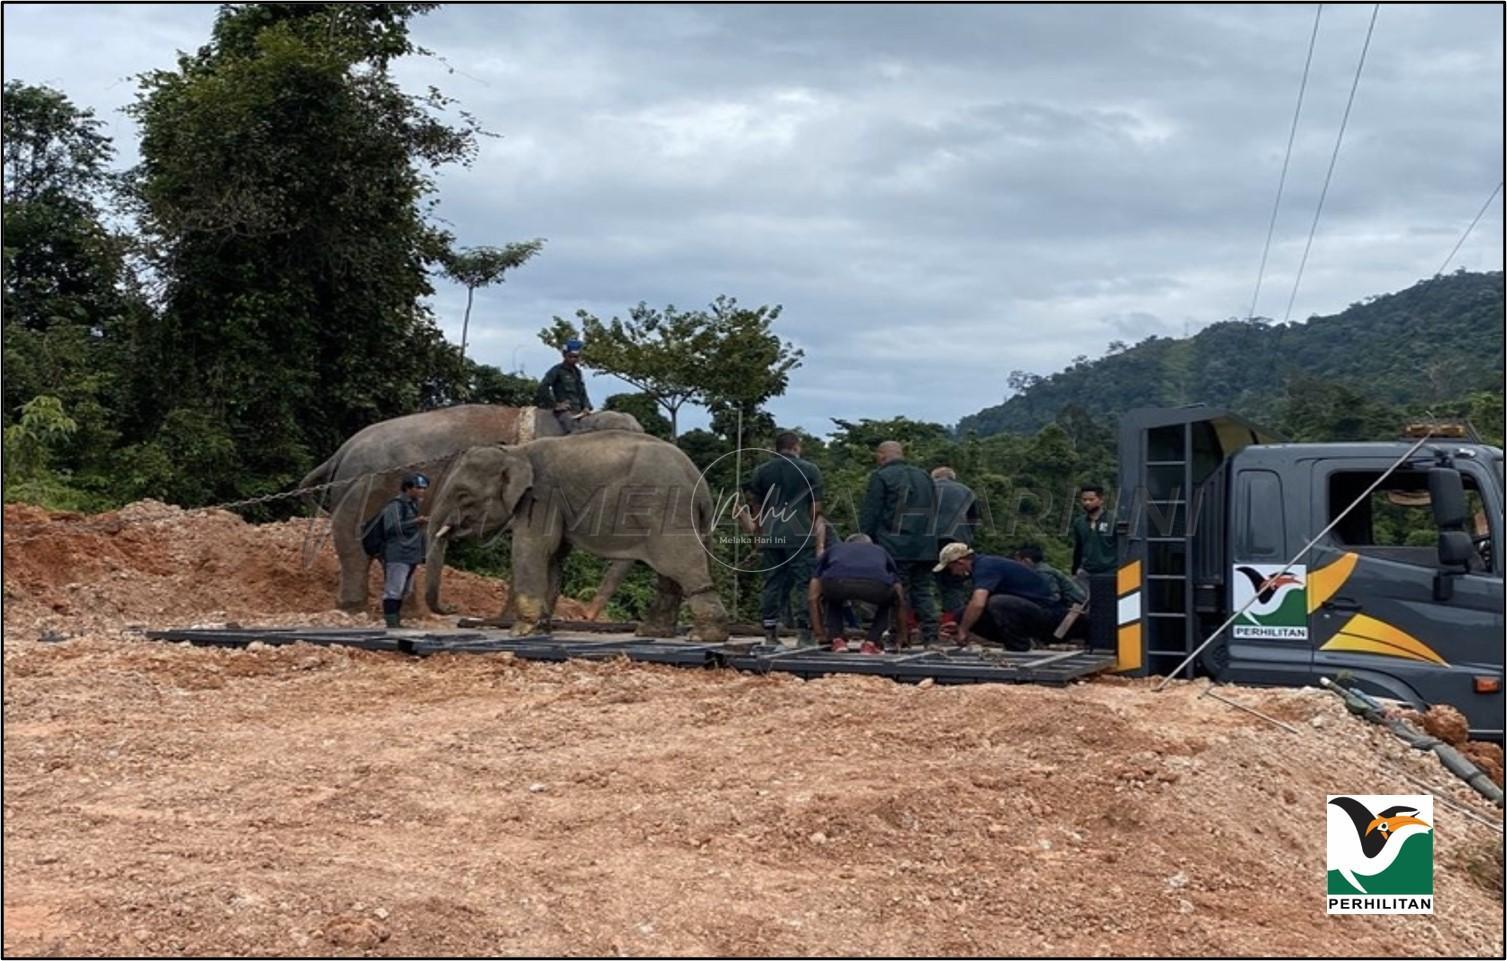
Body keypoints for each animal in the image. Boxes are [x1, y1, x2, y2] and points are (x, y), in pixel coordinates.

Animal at [299, 403, 641, 614]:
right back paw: (354, 608)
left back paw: (410, 612)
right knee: (356, 539)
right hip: (366, 486)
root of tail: (342, 450)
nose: (585, 615)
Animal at [427, 427, 732, 638]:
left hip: (665, 510)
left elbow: (533, 547)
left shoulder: (542, 496)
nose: (451, 611)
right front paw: (541, 630)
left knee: (679, 564)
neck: (516, 451)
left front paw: (521, 632)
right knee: (671, 574)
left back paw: (704, 637)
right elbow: (554, 556)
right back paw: (652, 633)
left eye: (463, 495)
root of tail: (701, 484)